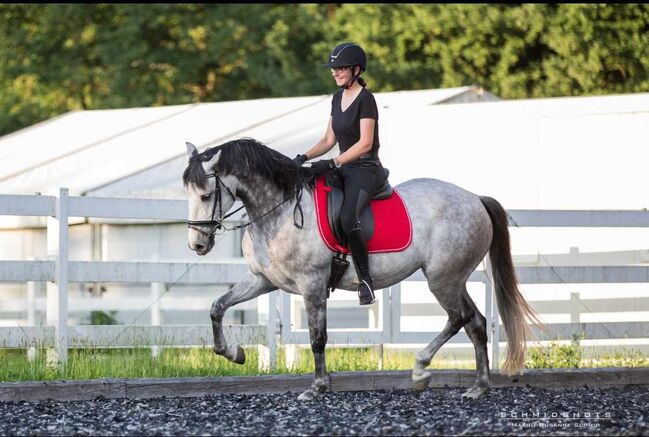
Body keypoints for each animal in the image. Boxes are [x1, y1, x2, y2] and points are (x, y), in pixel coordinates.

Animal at [184, 138, 540, 400]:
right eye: (188, 193)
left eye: (206, 194)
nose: (197, 245)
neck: (280, 210)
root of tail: (475, 199)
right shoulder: (263, 281)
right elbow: (217, 307)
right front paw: (234, 353)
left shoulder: (312, 284)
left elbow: (317, 337)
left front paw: (317, 387)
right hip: (454, 279)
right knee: (475, 323)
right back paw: (478, 387)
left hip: (443, 279)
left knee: (459, 318)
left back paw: (421, 370)